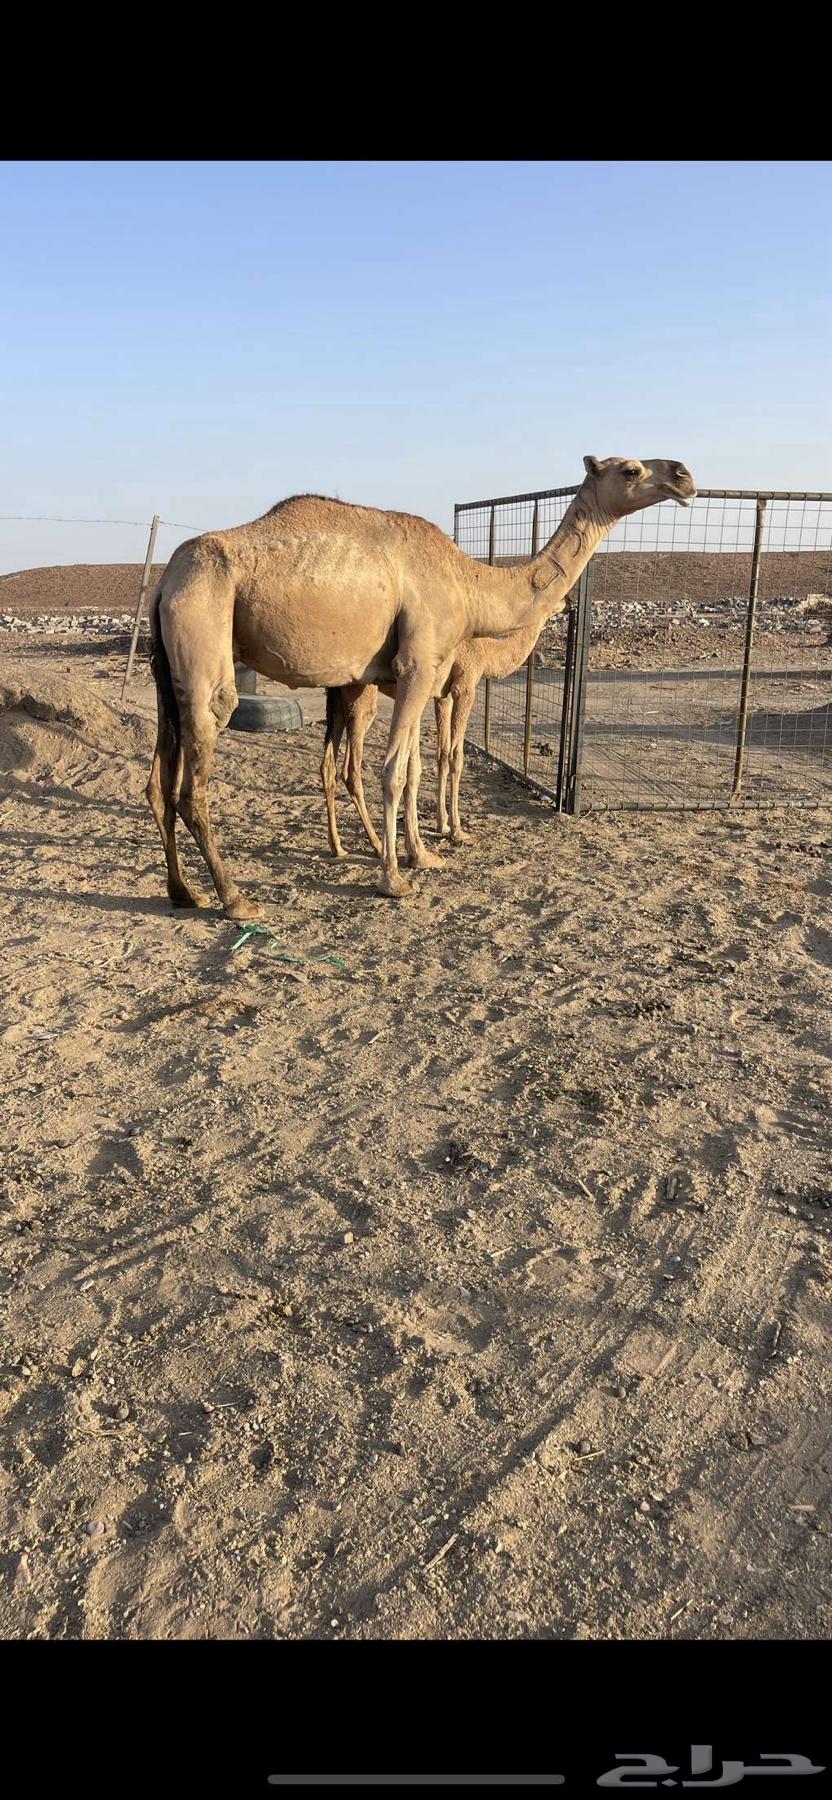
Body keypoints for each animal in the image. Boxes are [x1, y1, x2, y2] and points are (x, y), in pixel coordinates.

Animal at [146, 456, 696, 917]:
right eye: (630, 469)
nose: (684, 475)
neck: (468, 584)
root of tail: (167, 579)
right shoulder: (423, 667)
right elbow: (397, 770)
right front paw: (396, 877)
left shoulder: (425, 674)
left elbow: (412, 769)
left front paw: (423, 854)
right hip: (206, 627)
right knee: (197, 772)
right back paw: (234, 898)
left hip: (166, 666)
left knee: (159, 782)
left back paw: (184, 891)